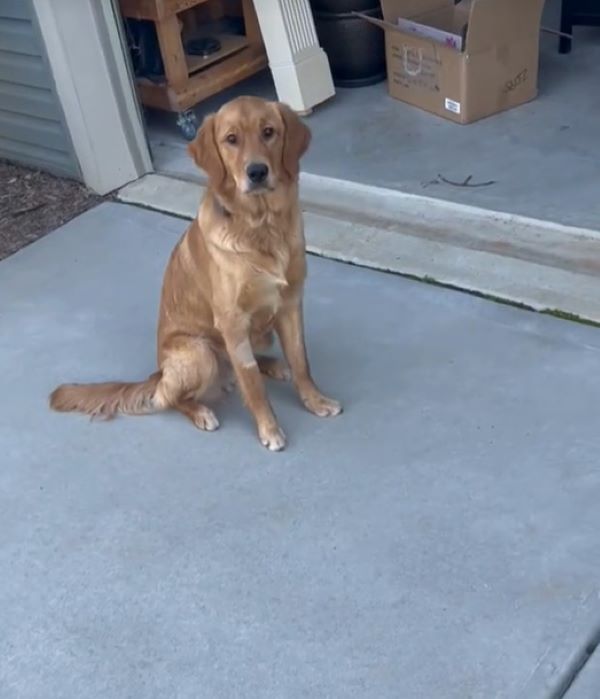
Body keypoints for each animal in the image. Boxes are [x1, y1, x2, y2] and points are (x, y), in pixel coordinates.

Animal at [50, 95, 342, 452]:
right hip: (200, 352)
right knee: (169, 398)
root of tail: (158, 371)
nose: (257, 171)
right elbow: (252, 383)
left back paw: (273, 365)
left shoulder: (289, 304)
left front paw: (316, 401)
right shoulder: (231, 321)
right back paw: (202, 411)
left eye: (269, 132)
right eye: (231, 139)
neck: (261, 227)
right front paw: (269, 429)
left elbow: (301, 361)